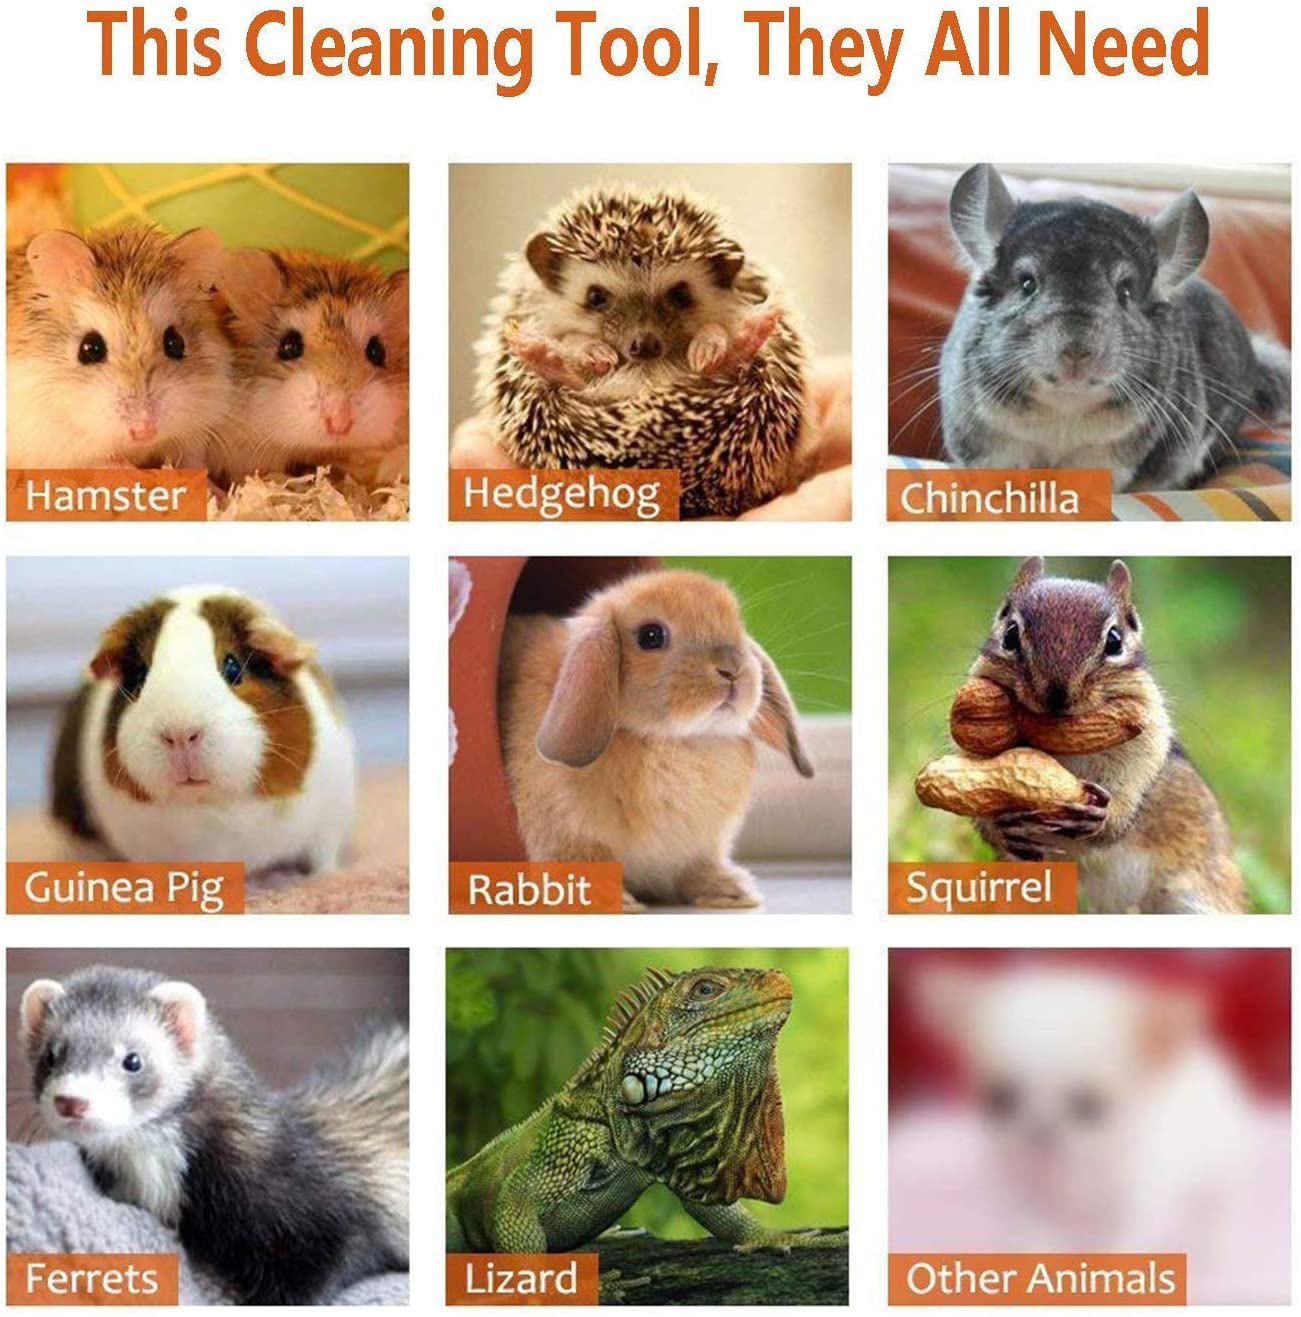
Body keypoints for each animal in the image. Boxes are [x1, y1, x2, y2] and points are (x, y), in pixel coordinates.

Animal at [7, 226, 235, 469]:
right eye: (90, 349)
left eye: (176, 343)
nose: (145, 431)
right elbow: (104, 462)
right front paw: (133, 470)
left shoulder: (197, 429)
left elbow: (191, 460)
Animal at [50, 585, 357, 876]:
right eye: (139, 676)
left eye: (233, 667)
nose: (180, 734)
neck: (208, 804)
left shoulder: (329, 824)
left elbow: (322, 856)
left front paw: (326, 876)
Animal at [497, 569, 814, 910]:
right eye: (651, 636)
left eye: (737, 625)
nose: (732, 670)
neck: (673, 741)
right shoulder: (567, 836)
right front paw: (612, 899)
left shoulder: (700, 848)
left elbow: (697, 869)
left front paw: (734, 891)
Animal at [939, 164, 1291, 491]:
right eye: (1027, 284)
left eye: (1125, 292)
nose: (1077, 350)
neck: (1065, 405)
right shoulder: (990, 445)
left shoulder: (1108, 457)